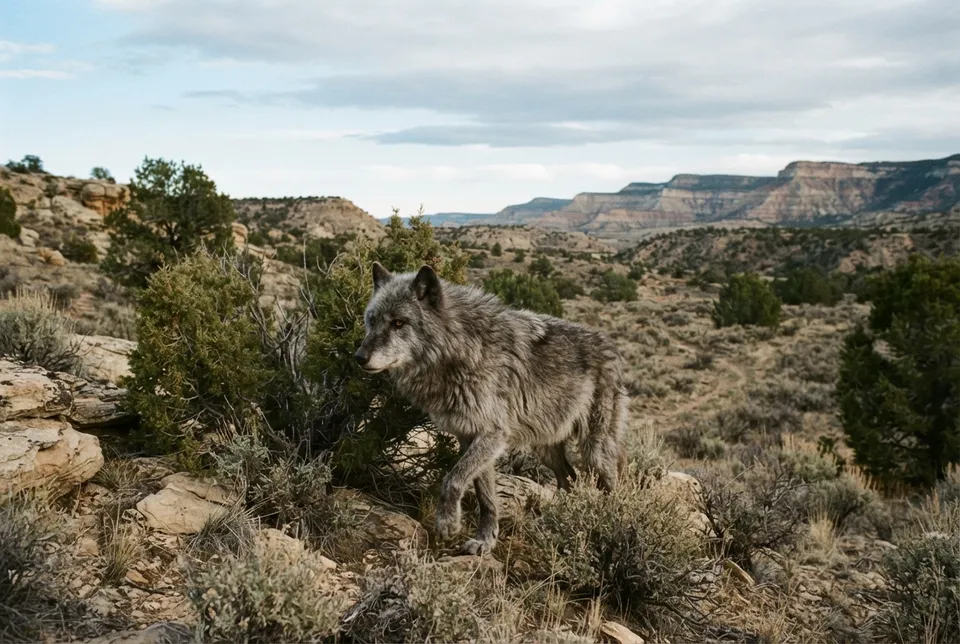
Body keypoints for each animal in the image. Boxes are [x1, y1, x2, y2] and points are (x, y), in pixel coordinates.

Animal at [355, 262, 628, 554]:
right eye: (371, 320)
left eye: (398, 323)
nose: (359, 357)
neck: (460, 348)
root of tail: (612, 347)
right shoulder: (470, 436)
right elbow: (485, 497)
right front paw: (485, 540)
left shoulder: (493, 434)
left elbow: (452, 480)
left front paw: (448, 524)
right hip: (547, 450)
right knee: (570, 480)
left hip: (594, 451)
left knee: (611, 489)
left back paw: (610, 526)